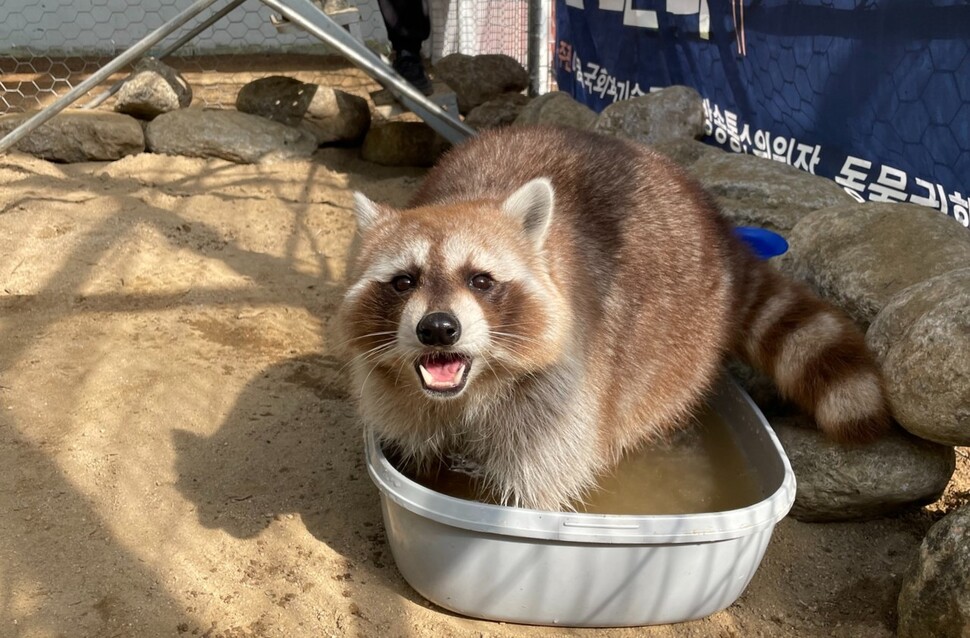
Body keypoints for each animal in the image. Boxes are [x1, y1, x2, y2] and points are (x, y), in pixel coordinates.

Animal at [330, 127, 884, 512]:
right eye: (404, 281)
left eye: (481, 280)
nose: (439, 328)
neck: (472, 392)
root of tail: (720, 230)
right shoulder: (400, 399)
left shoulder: (563, 393)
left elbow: (537, 487)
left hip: (683, 340)